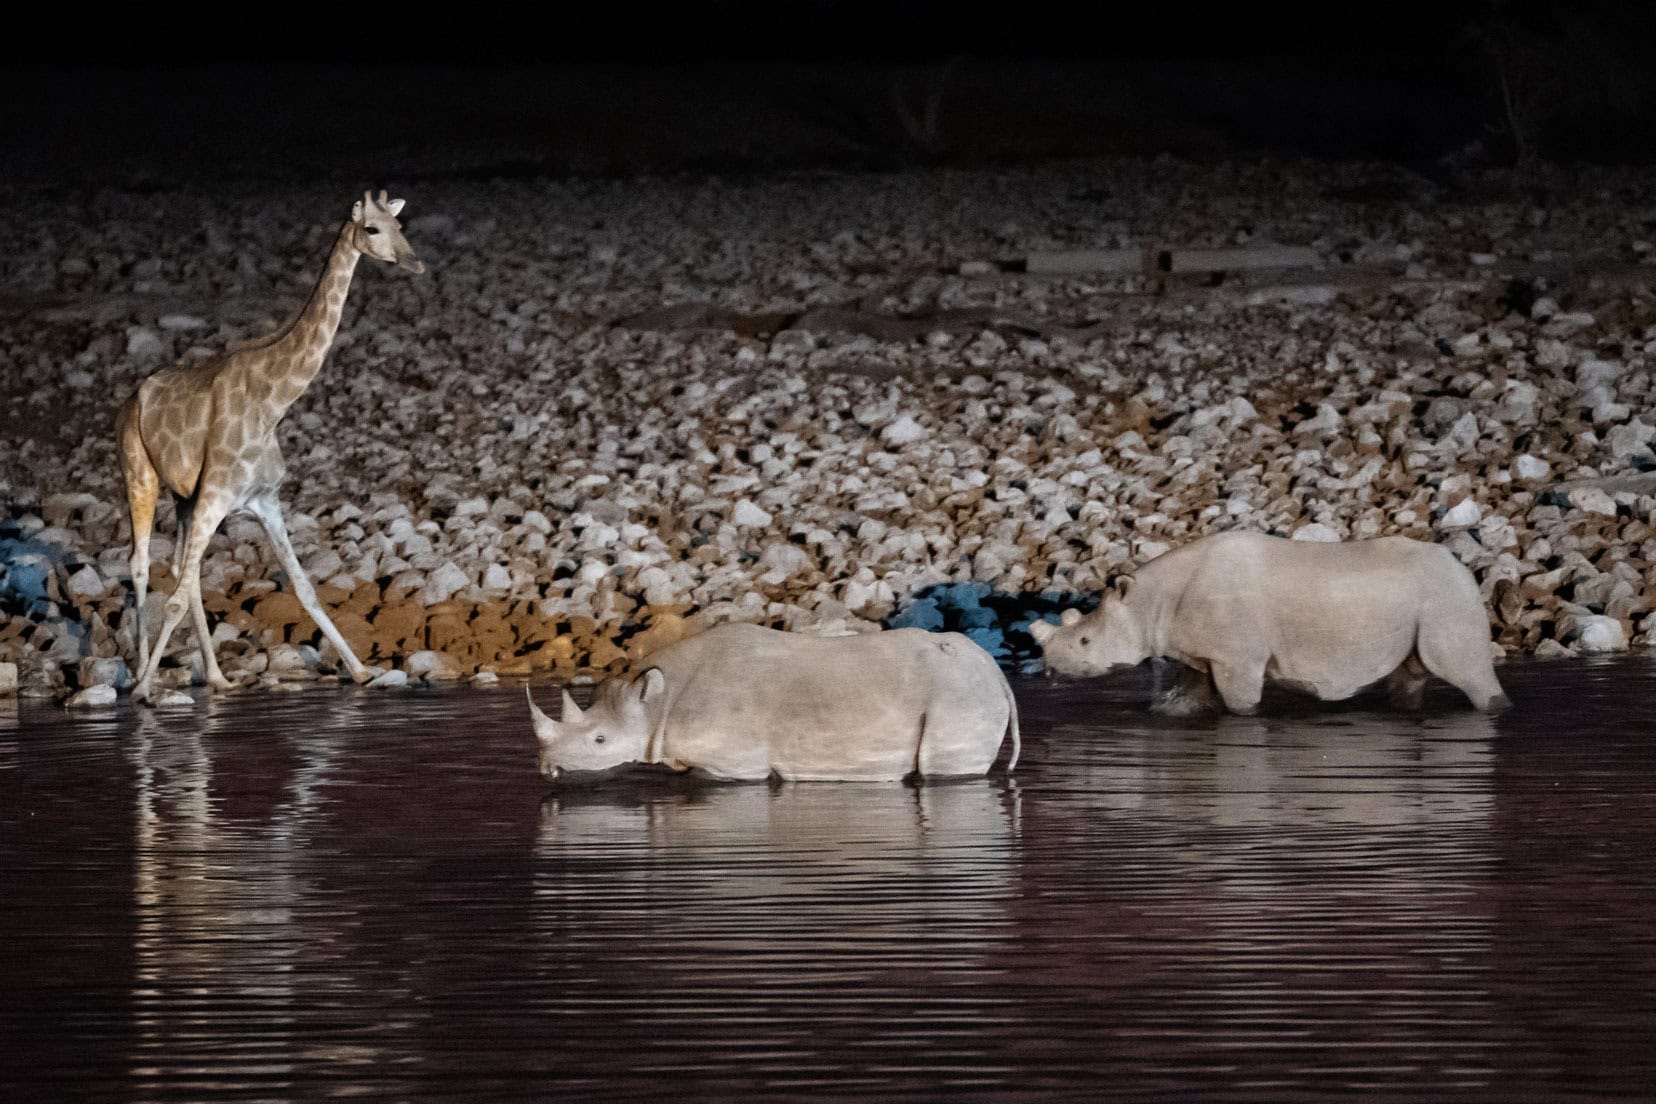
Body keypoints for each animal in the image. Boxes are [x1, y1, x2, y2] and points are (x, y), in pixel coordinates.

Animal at [116, 187, 427, 708]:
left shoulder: (264, 501)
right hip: (139, 472)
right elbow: (173, 599)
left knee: (183, 570)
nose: (414, 262)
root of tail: (130, 400)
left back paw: (217, 677)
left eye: (401, 226)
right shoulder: (216, 497)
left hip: (182, 498)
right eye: (372, 229)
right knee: (141, 566)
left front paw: (363, 671)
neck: (274, 402)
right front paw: (142, 689)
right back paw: (141, 674)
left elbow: (304, 586)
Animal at [529, 625, 1020, 781]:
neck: (655, 702)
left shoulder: (734, 763)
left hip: (959, 697)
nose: (546, 765)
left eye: (599, 740)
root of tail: (994, 669)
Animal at [1033, 532, 1516, 718]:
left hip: (1445, 599)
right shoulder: (1202, 653)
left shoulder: (1237, 657)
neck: (1149, 600)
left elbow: (1240, 704)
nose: (1050, 668)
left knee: (1466, 672)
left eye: (1084, 640)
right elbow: (1189, 696)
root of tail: (1464, 569)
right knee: (1410, 673)